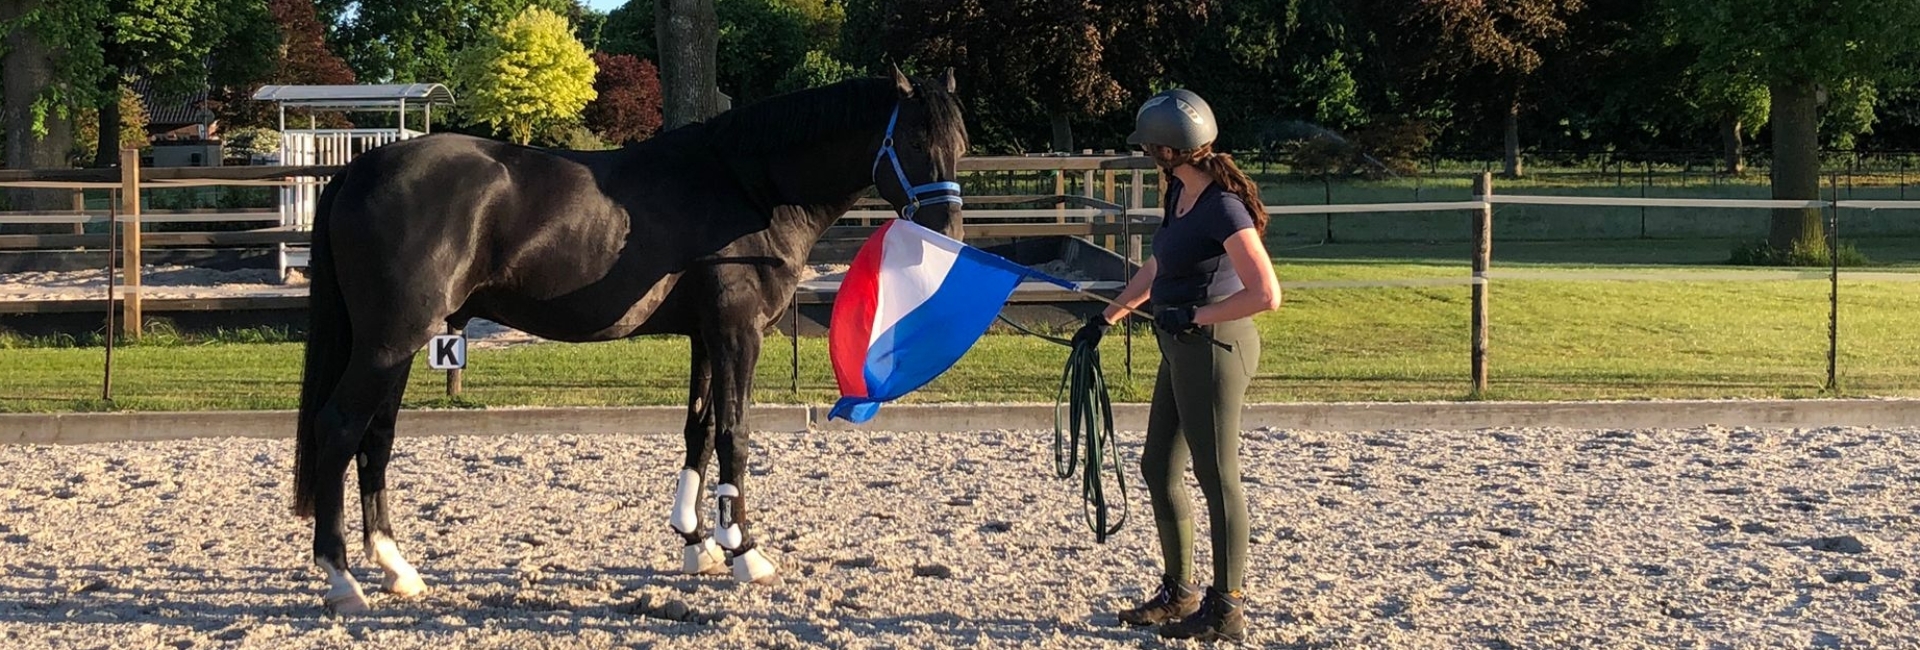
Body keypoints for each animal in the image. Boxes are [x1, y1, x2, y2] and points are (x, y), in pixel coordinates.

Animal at [290, 66, 970, 614]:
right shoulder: (737, 332)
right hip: (389, 341)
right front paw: (745, 551)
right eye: (914, 140)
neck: (749, 188)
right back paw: (342, 578)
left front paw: (698, 543)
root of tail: (359, 168)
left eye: (960, 145)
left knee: (376, 439)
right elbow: (736, 433)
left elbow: (699, 429)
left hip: (399, 346)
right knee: (340, 428)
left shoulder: (705, 336)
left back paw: (396, 569)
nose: (947, 233)